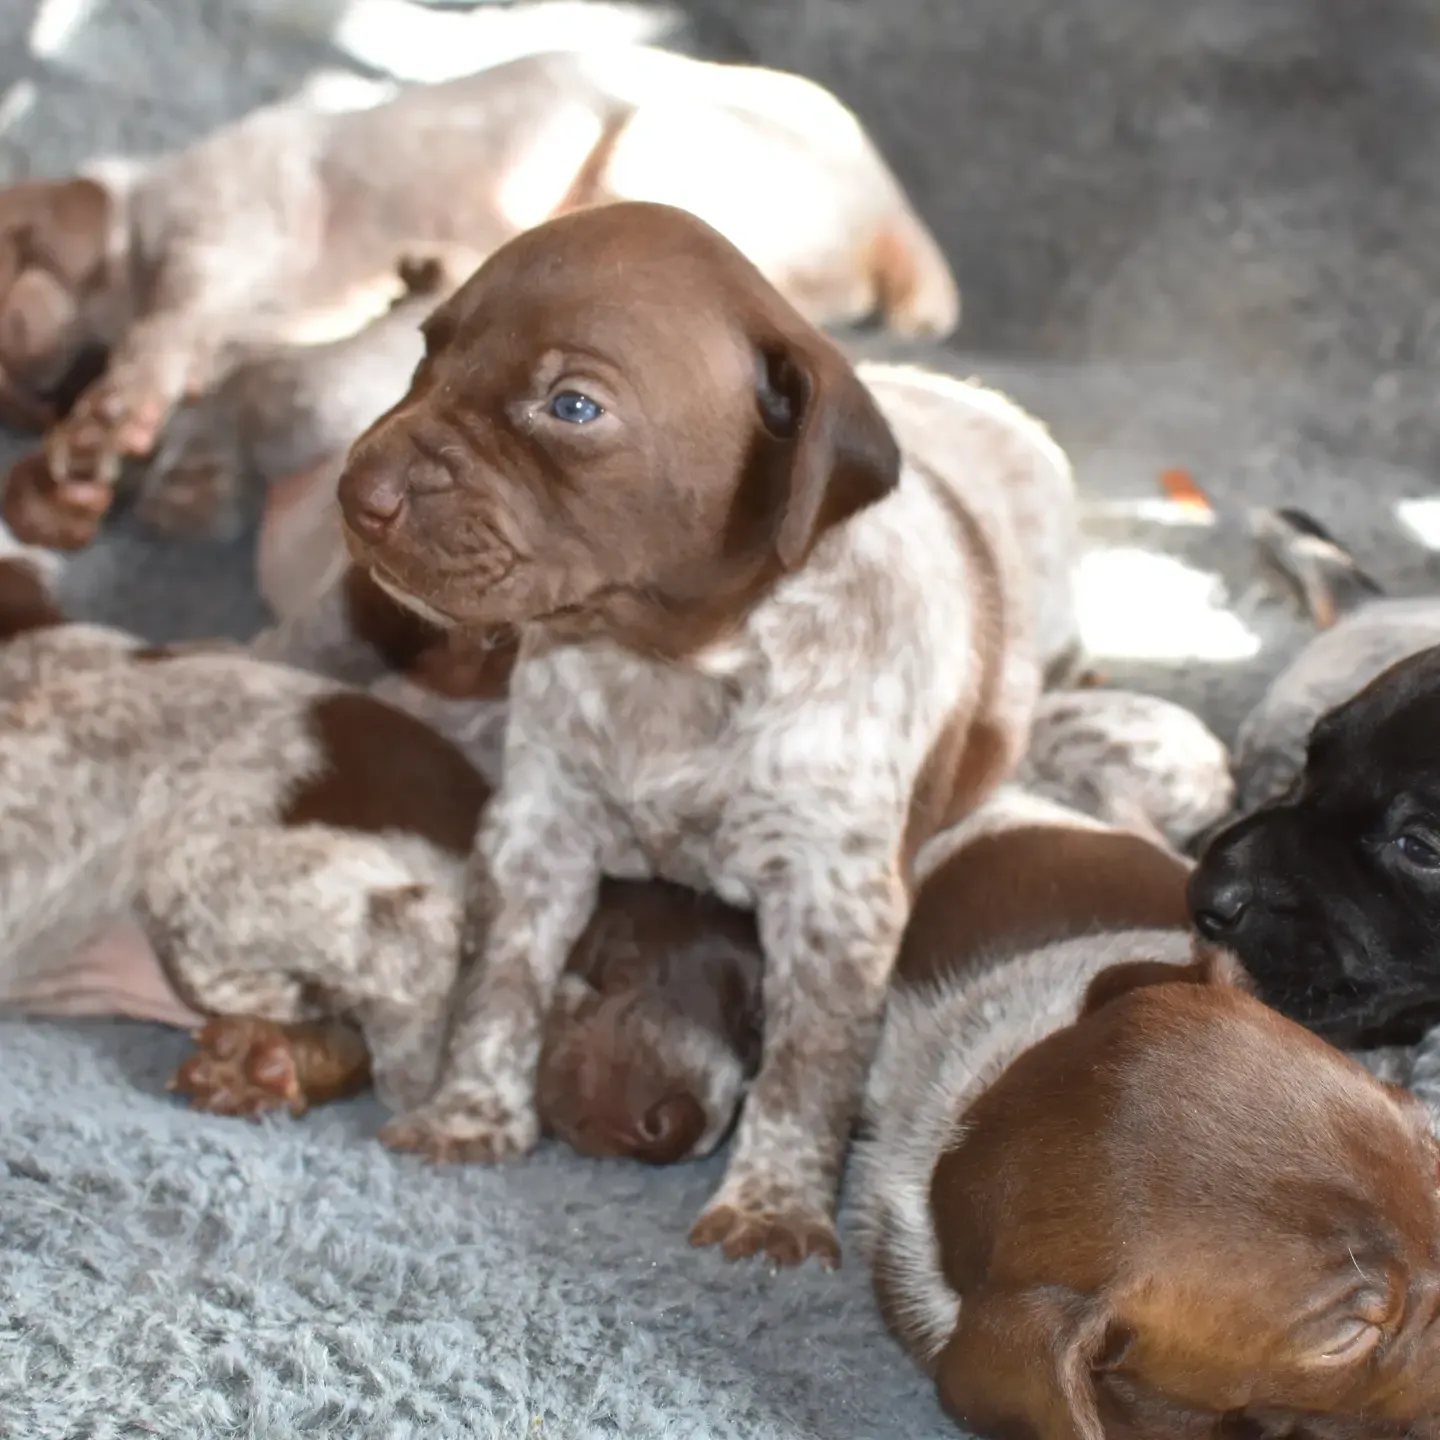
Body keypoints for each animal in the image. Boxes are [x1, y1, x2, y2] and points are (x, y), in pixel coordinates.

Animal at [331, 197, 1077, 1267]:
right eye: (429, 352)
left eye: (572, 407)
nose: (358, 492)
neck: (672, 666)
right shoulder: (538, 831)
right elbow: (499, 985)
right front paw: (468, 1114)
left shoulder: (833, 897)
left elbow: (808, 1068)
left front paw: (774, 1205)